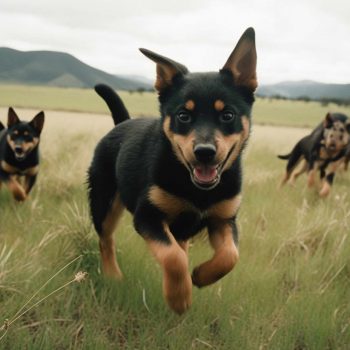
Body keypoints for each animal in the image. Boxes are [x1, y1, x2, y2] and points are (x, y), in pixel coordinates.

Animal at [87, 26, 258, 312]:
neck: (195, 187)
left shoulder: (223, 219)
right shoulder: (147, 216)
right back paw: (113, 275)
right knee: (106, 239)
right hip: (104, 202)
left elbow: (230, 255)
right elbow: (172, 257)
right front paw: (179, 298)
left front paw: (200, 275)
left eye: (227, 115)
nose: (204, 152)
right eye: (183, 116)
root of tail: (122, 123)